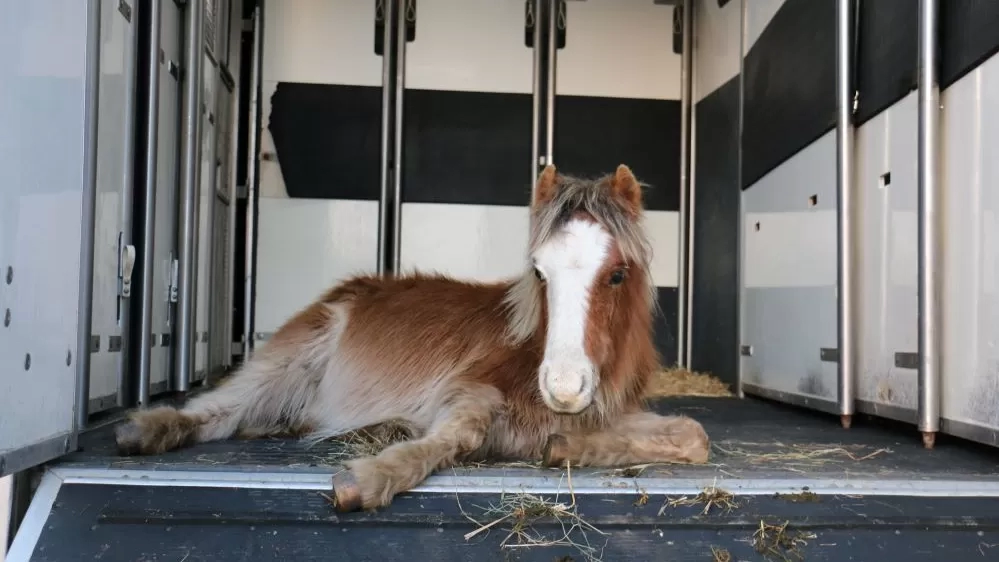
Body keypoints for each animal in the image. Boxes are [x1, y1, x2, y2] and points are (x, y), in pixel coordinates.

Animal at [113, 163, 711, 512]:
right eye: (540, 273)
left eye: (617, 275)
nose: (563, 389)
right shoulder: (467, 389)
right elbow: (460, 433)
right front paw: (373, 476)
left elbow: (693, 435)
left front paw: (565, 445)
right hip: (293, 355)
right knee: (221, 408)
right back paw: (147, 429)